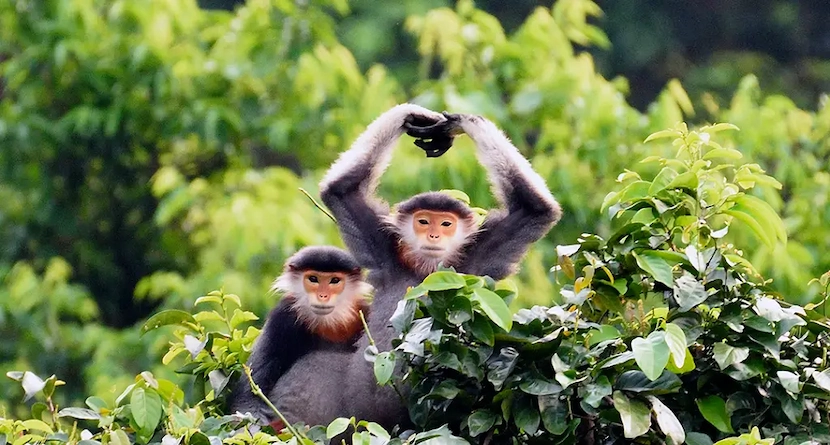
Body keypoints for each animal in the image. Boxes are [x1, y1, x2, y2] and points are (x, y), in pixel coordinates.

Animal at [228, 246, 370, 426]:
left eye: (334, 281)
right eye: (313, 279)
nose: (323, 296)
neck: (329, 324)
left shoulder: (365, 312)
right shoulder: (282, 316)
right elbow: (248, 397)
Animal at [266, 103, 564, 430]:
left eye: (445, 224)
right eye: (423, 221)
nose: (433, 235)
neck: (428, 271)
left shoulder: (480, 256)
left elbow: (536, 209)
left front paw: (458, 122)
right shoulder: (387, 251)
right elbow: (342, 190)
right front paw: (418, 115)